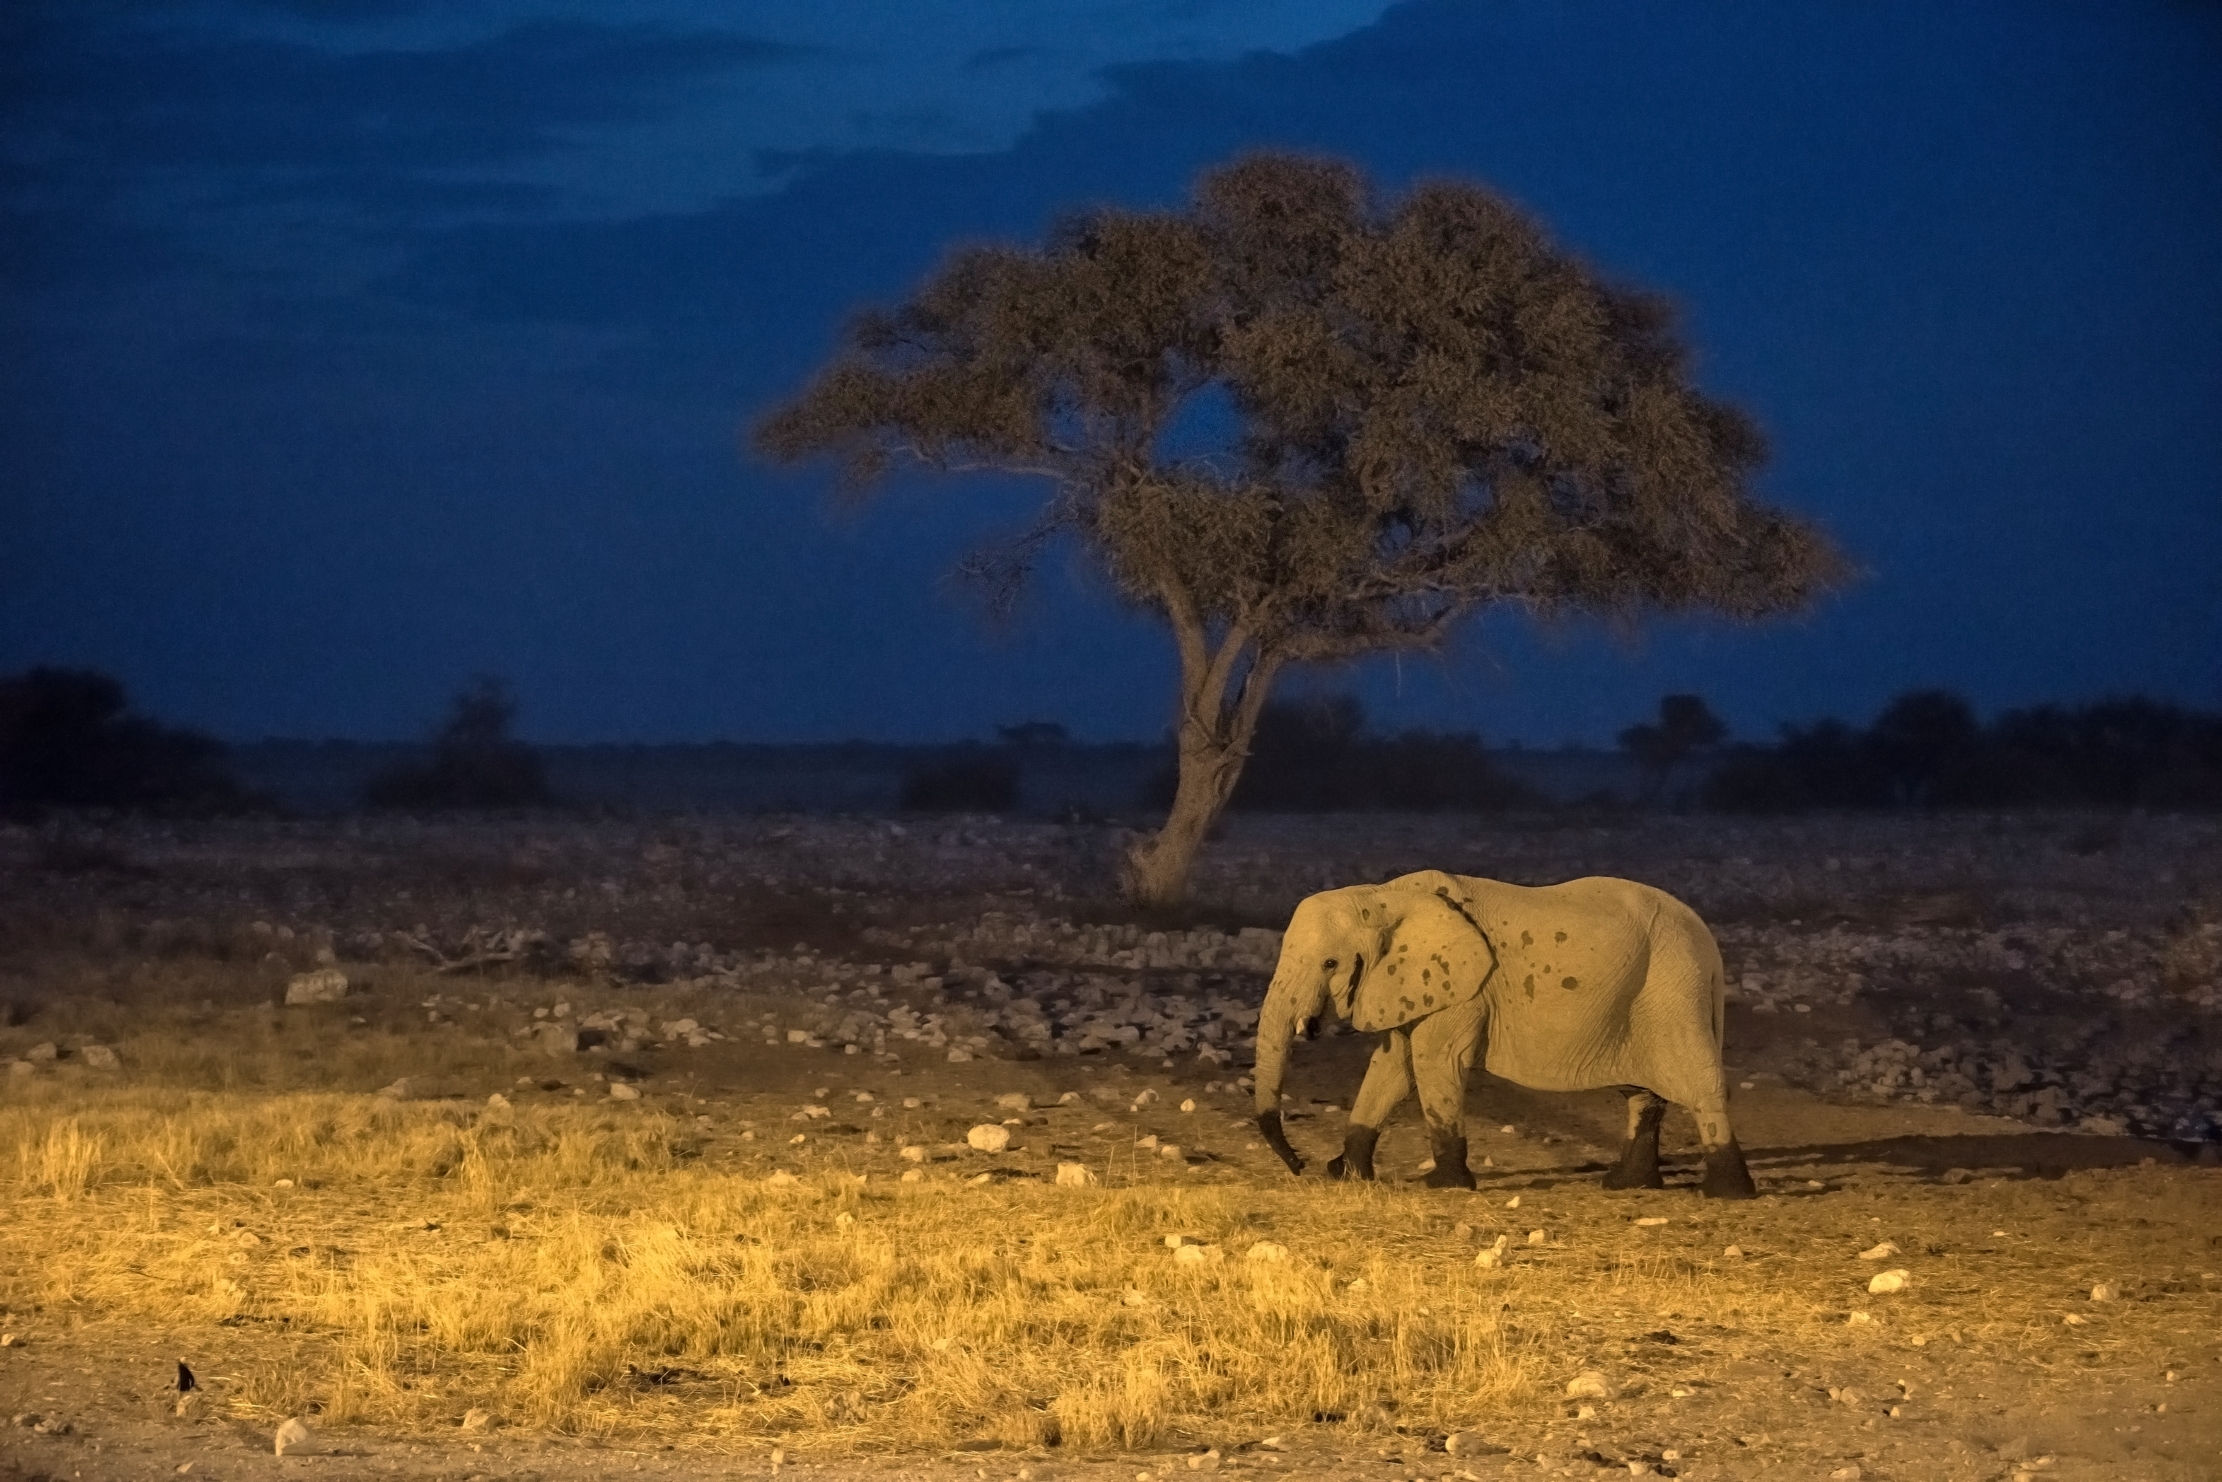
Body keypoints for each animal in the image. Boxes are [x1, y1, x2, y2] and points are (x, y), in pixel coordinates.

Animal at [1251, 869, 1756, 1199]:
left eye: (1329, 963)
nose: (1302, 1165)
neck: (1383, 896)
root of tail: (1709, 945)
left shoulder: (1464, 988)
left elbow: (1433, 1060)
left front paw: (1441, 1186)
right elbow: (1393, 1065)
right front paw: (1347, 1175)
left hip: (1673, 991)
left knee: (1700, 1085)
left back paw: (1724, 1193)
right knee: (1642, 1094)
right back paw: (1624, 1185)